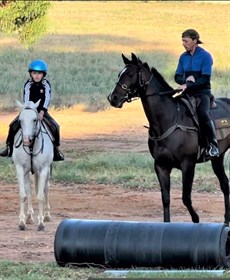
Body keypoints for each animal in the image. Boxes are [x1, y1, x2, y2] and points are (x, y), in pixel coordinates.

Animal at [12, 99, 53, 231]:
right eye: (20, 120)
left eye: (35, 119)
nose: (26, 140)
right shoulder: (20, 169)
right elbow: (23, 195)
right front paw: (22, 222)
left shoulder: (44, 169)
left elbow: (40, 196)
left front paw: (41, 224)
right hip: (28, 172)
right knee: (29, 190)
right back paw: (29, 217)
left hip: (46, 171)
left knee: (46, 189)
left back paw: (47, 215)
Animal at [108, 53, 230, 225]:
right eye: (120, 74)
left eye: (130, 75)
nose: (113, 98)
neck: (169, 119)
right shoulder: (161, 166)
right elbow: (165, 199)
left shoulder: (188, 164)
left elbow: (186, 198)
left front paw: (196, 218)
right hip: (218, 158)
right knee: (225, 184)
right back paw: (226, 220)